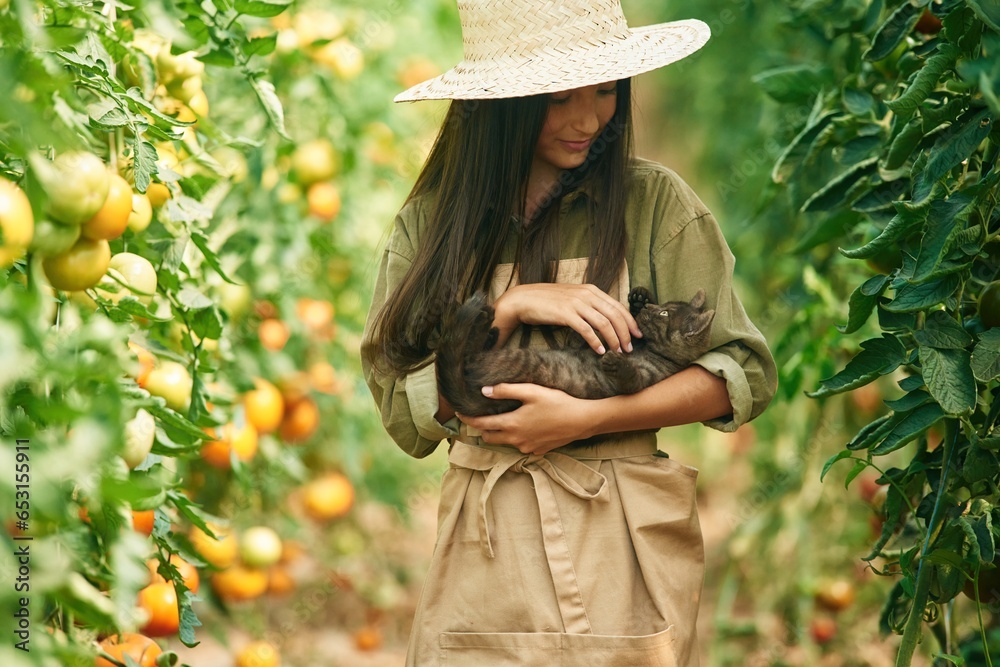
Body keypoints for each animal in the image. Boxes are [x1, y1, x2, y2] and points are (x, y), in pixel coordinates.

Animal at [436, 288, 712, 418]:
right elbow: (581, 339)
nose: (649, 308)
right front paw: (639, 297)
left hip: (516, 360)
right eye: (662, 306)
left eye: (664, 314)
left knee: (467, 356)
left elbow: (631, 378)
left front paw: (615, 361)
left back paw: (485, 322)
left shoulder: (644, 381)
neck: (648, 348)